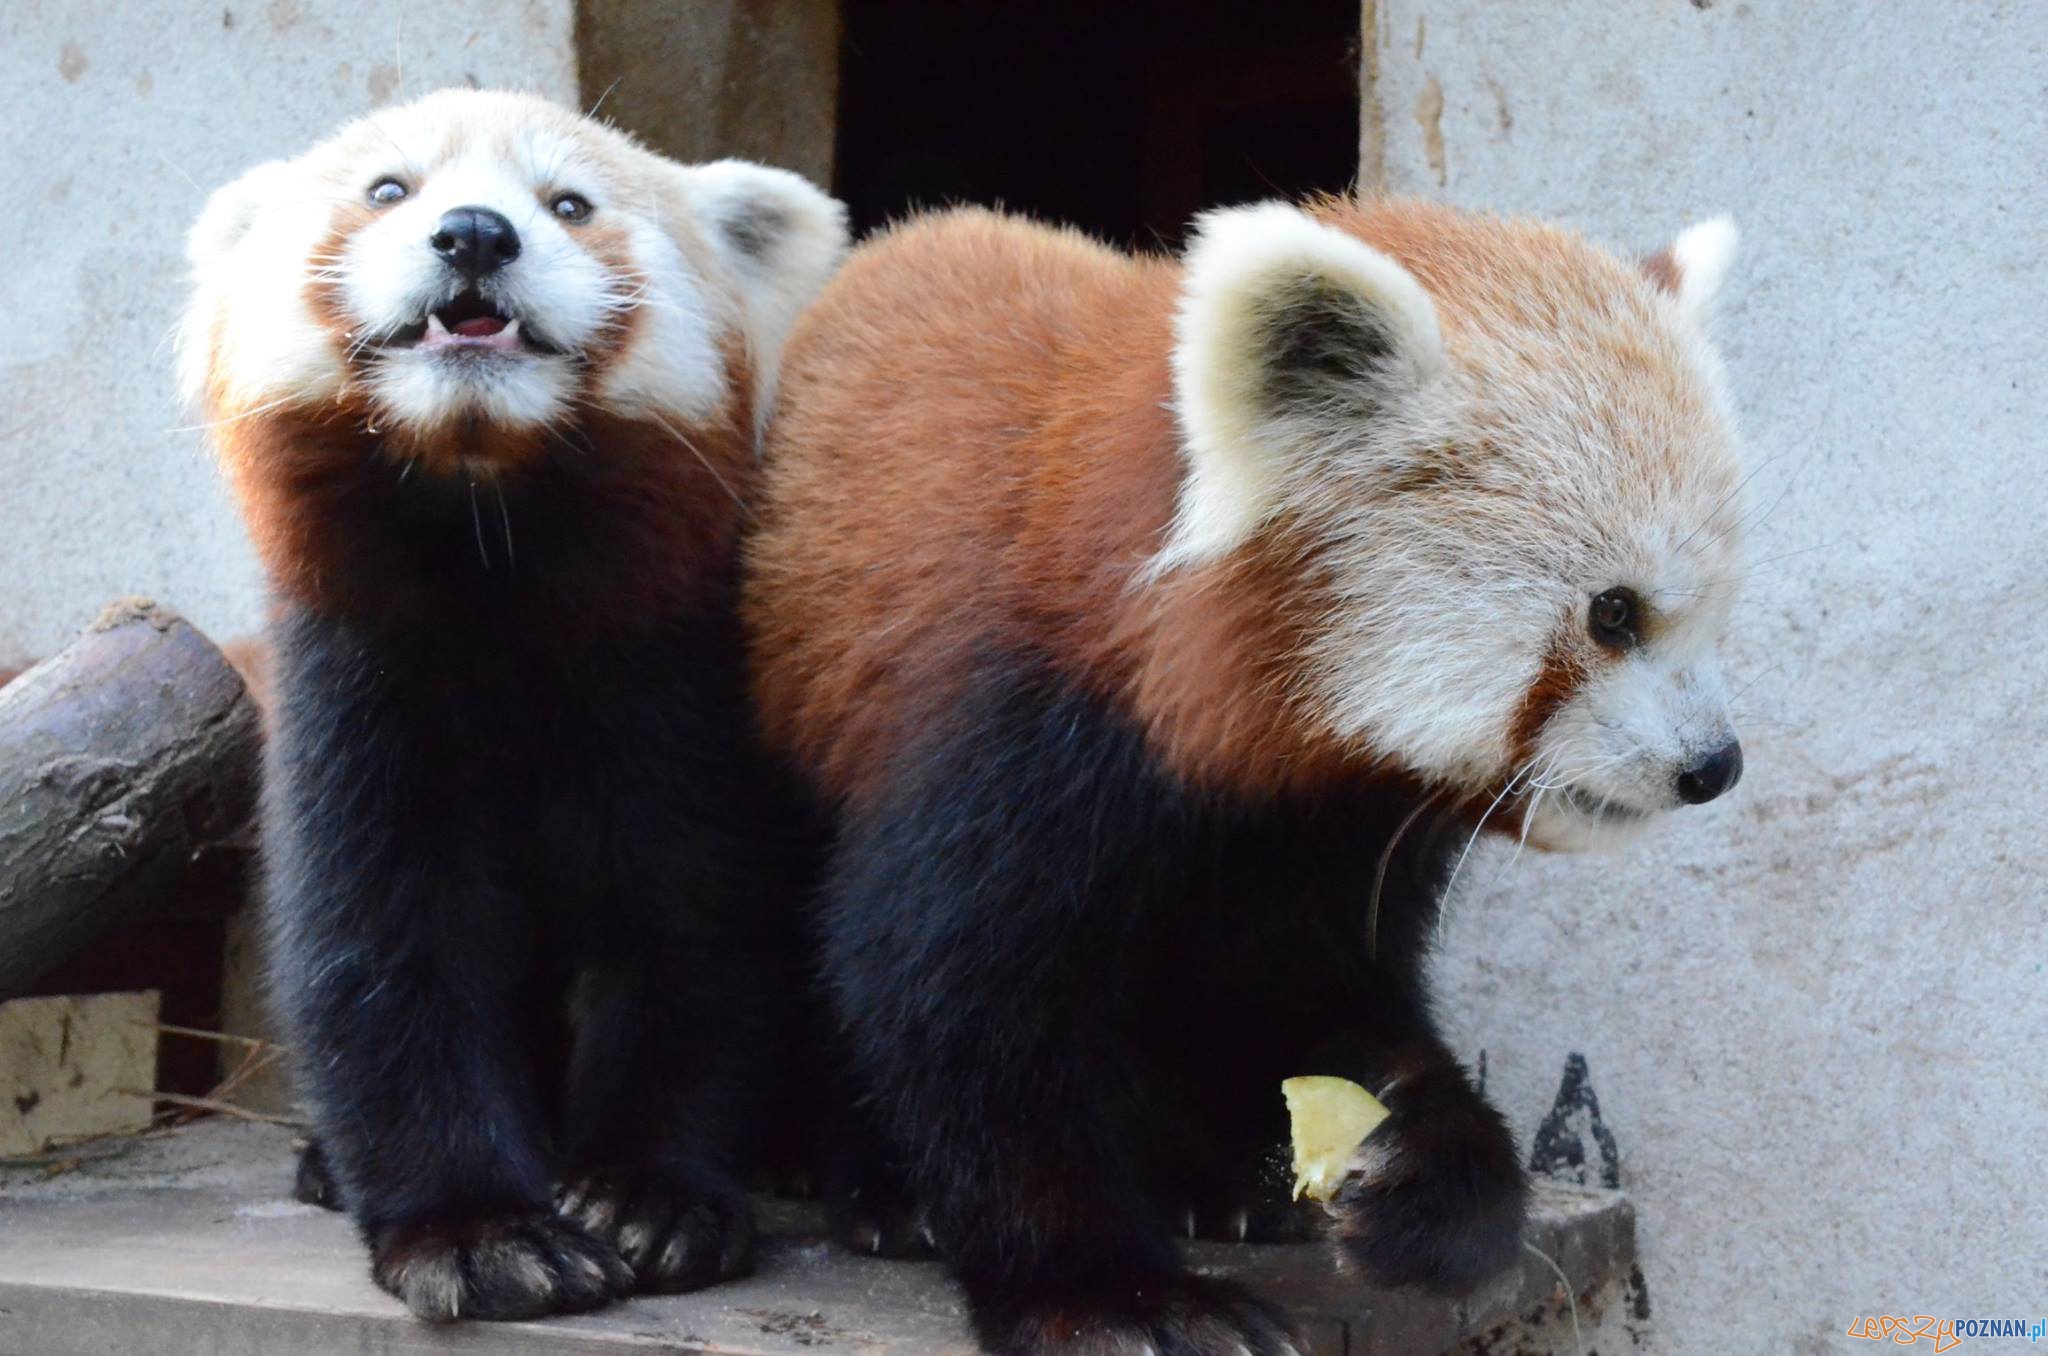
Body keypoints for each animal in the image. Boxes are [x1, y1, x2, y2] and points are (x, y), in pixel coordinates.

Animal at [178, 90, 847, 1319]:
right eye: (389, 190)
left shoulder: (672, 676)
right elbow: (384, 944)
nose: (476, 235)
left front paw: (646, 1196)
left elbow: (698, 923)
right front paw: (478, 1230)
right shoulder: (356, 680)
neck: (490, 525)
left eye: (568, 204)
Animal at [745, 199, 1753, 1356]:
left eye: (1709, 612)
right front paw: (1107, 1293)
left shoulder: (1321, 836)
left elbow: (1317, 999)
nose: (1713, 766)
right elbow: (951, 1000)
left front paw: (1417, 1173)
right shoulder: (1021, 723)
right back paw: (870, 1179)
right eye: (1613, 613)